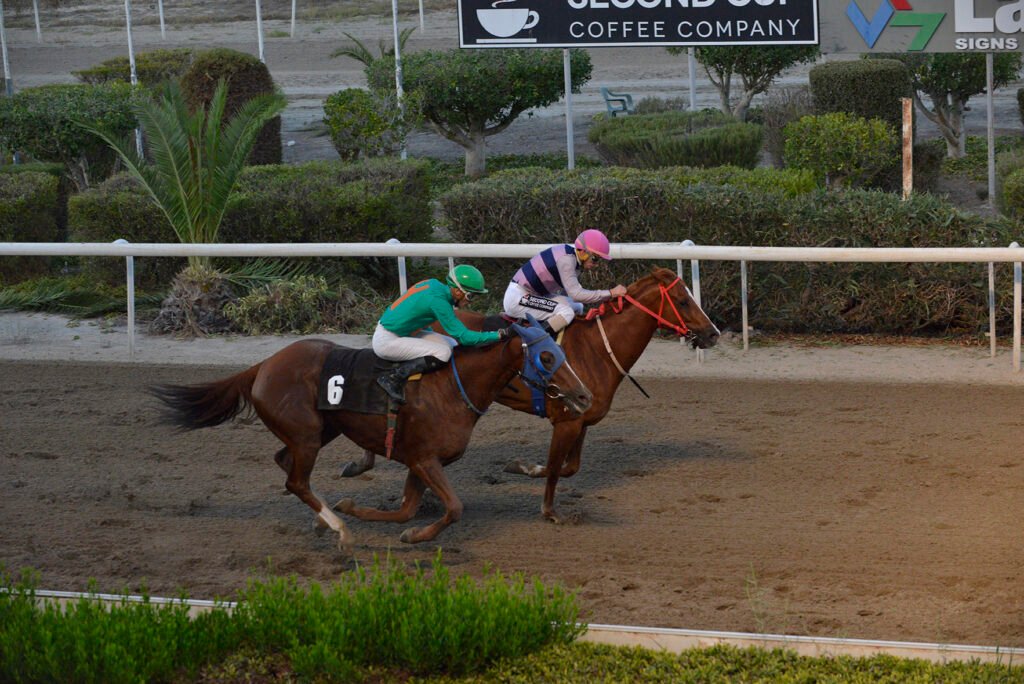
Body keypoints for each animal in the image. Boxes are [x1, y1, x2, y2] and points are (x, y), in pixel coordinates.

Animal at [149, 319, 592, 552]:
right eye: (547, 356)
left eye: (563, 351)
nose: (584, 395)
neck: (453, 387)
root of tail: (263, 365)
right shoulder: (425, 459)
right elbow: (453, 508)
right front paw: (410, 534)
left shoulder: (419, 461)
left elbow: (407, 510)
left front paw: (361, 510)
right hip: (308, 435)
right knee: (295, 479)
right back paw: (338, 530)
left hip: (322, 428)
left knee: (285, 464)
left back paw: (324, 520)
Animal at [341, 267, 720, 523]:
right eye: (683, 300)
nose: (713, 334)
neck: (598, 349)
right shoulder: (566, 422)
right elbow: (555, 468)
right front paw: (549, 510)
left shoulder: (581, 420)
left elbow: (569, 467)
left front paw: (521, 467)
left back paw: (361, 461)